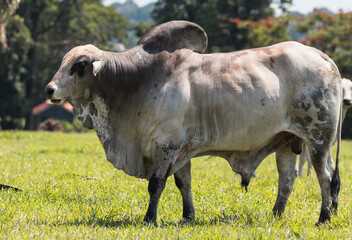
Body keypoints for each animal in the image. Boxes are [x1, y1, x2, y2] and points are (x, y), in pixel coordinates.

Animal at [44, 20, 340, 225]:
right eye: (63, 62)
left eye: (80, 65)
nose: (49, 89)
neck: (135, 79)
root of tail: (324, 57)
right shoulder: (180, 149)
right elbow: (182, 183)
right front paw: (188, 216)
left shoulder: (166, 144)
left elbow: (156, 184)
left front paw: (149, 218)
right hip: (289, 141)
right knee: (288, 179)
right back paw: (277, 215)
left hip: (318, 138)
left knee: (324, 176)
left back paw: (323, 217)